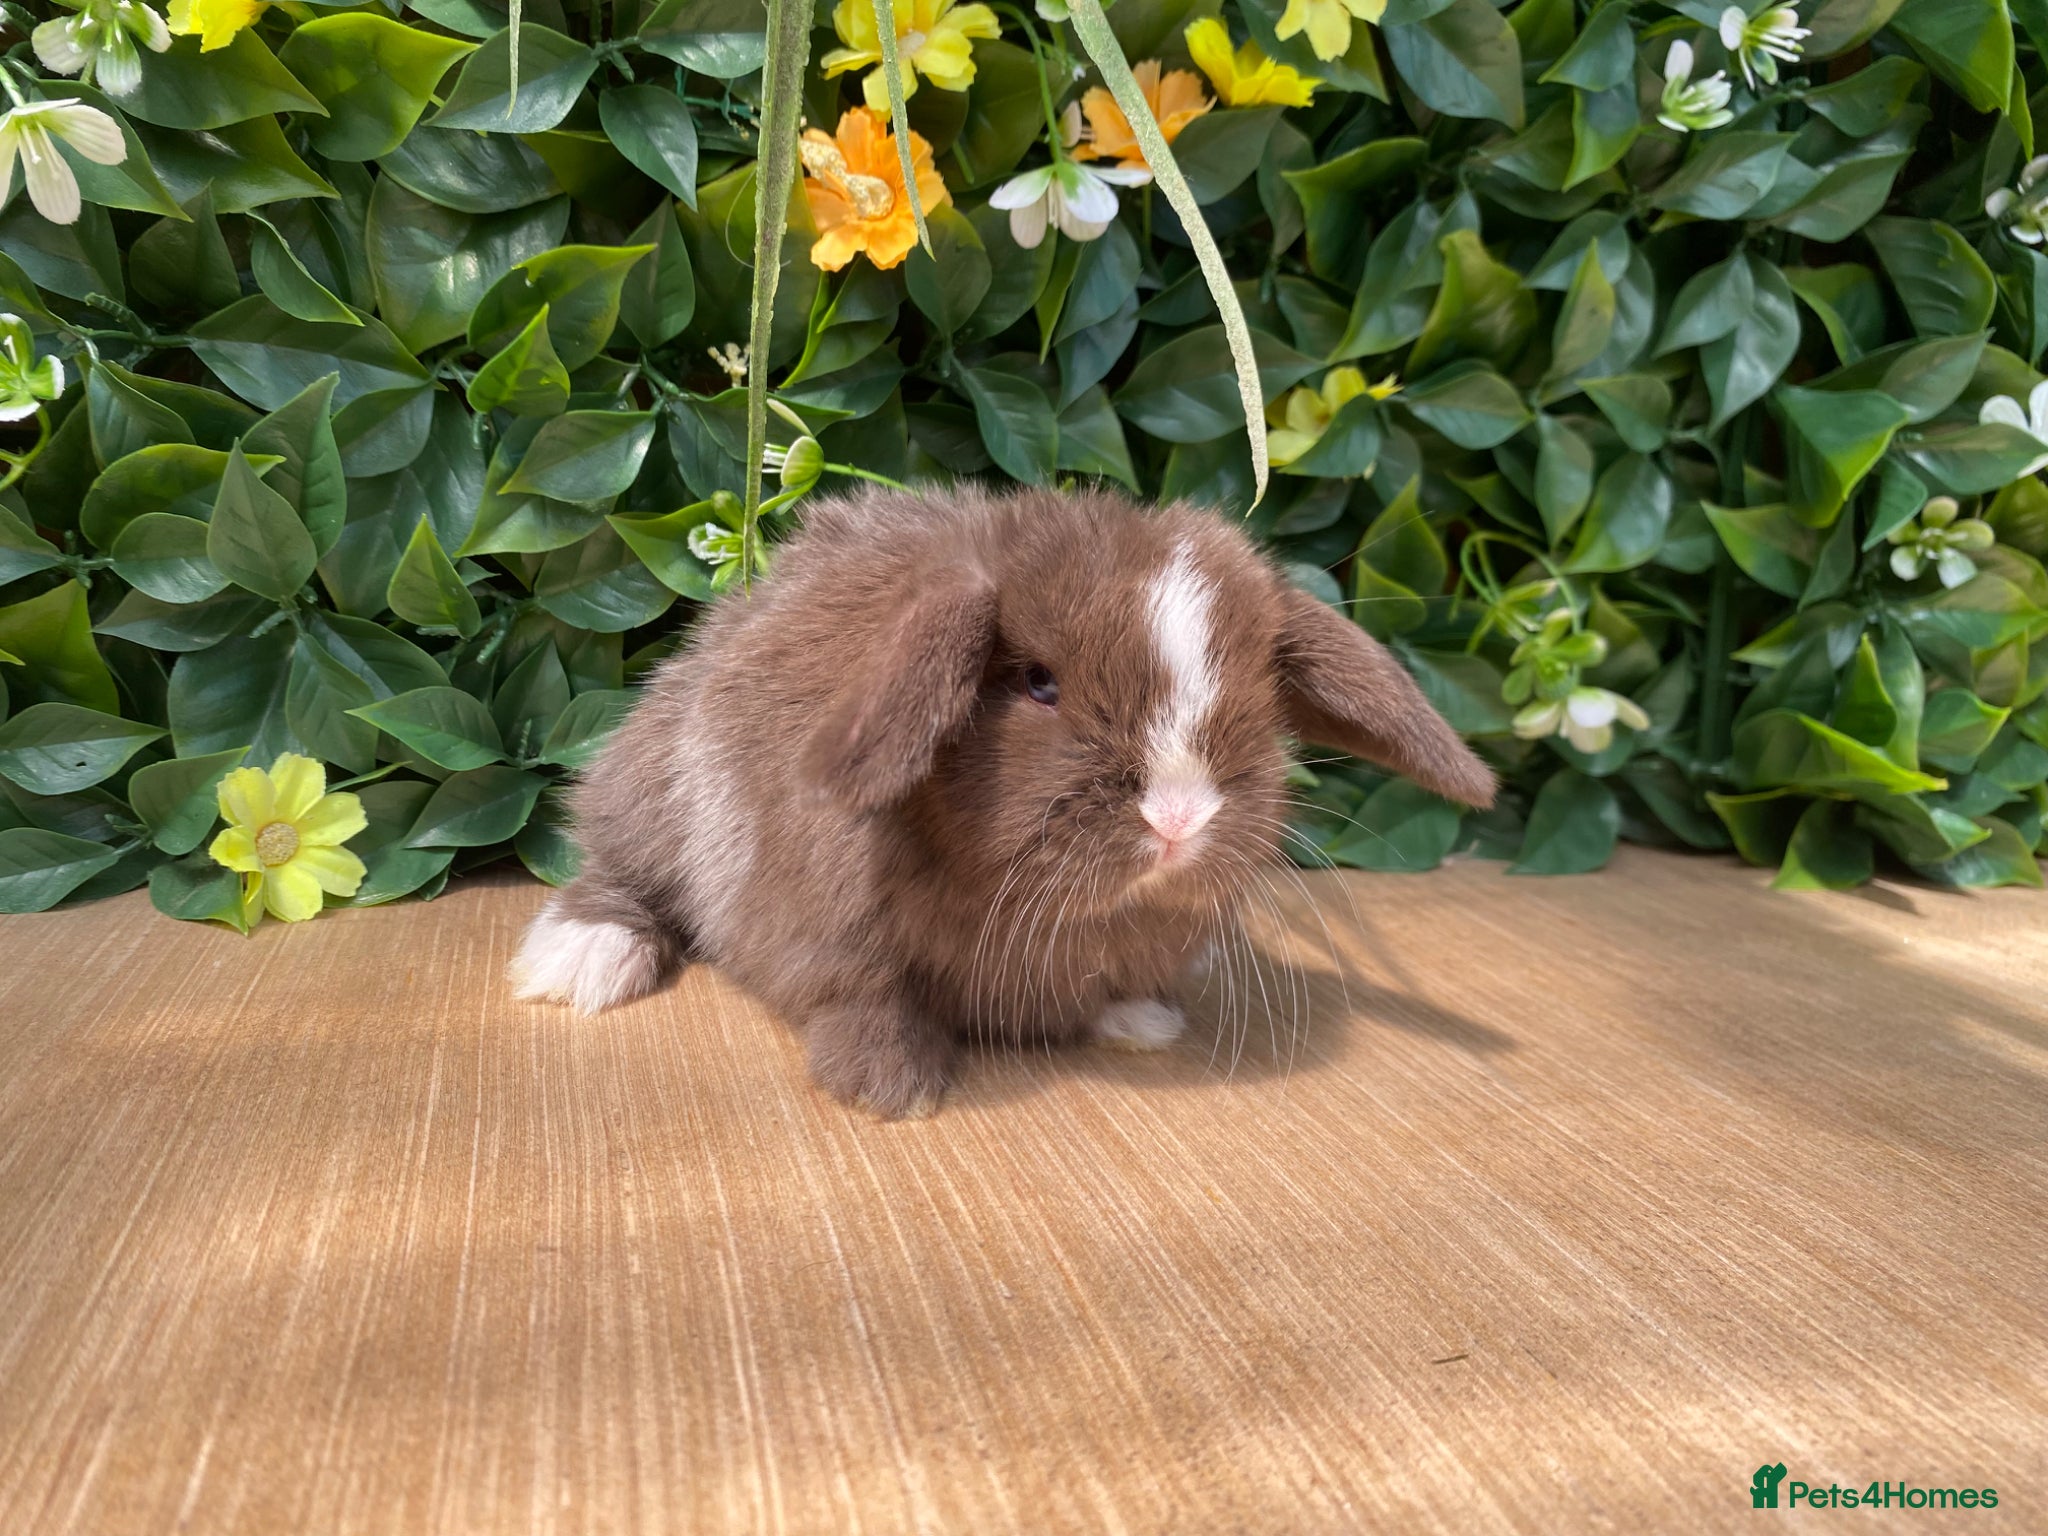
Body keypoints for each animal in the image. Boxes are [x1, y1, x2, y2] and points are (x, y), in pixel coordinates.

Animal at [511, 485, 1494, 1117]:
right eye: (1037, 683)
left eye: (1259, 693)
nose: (1179, 817)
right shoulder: (825, 930)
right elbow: (859, 995)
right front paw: (889, 1086)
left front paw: (1141, 1021)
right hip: (646, 799)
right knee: (619, 871)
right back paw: (581, 960)